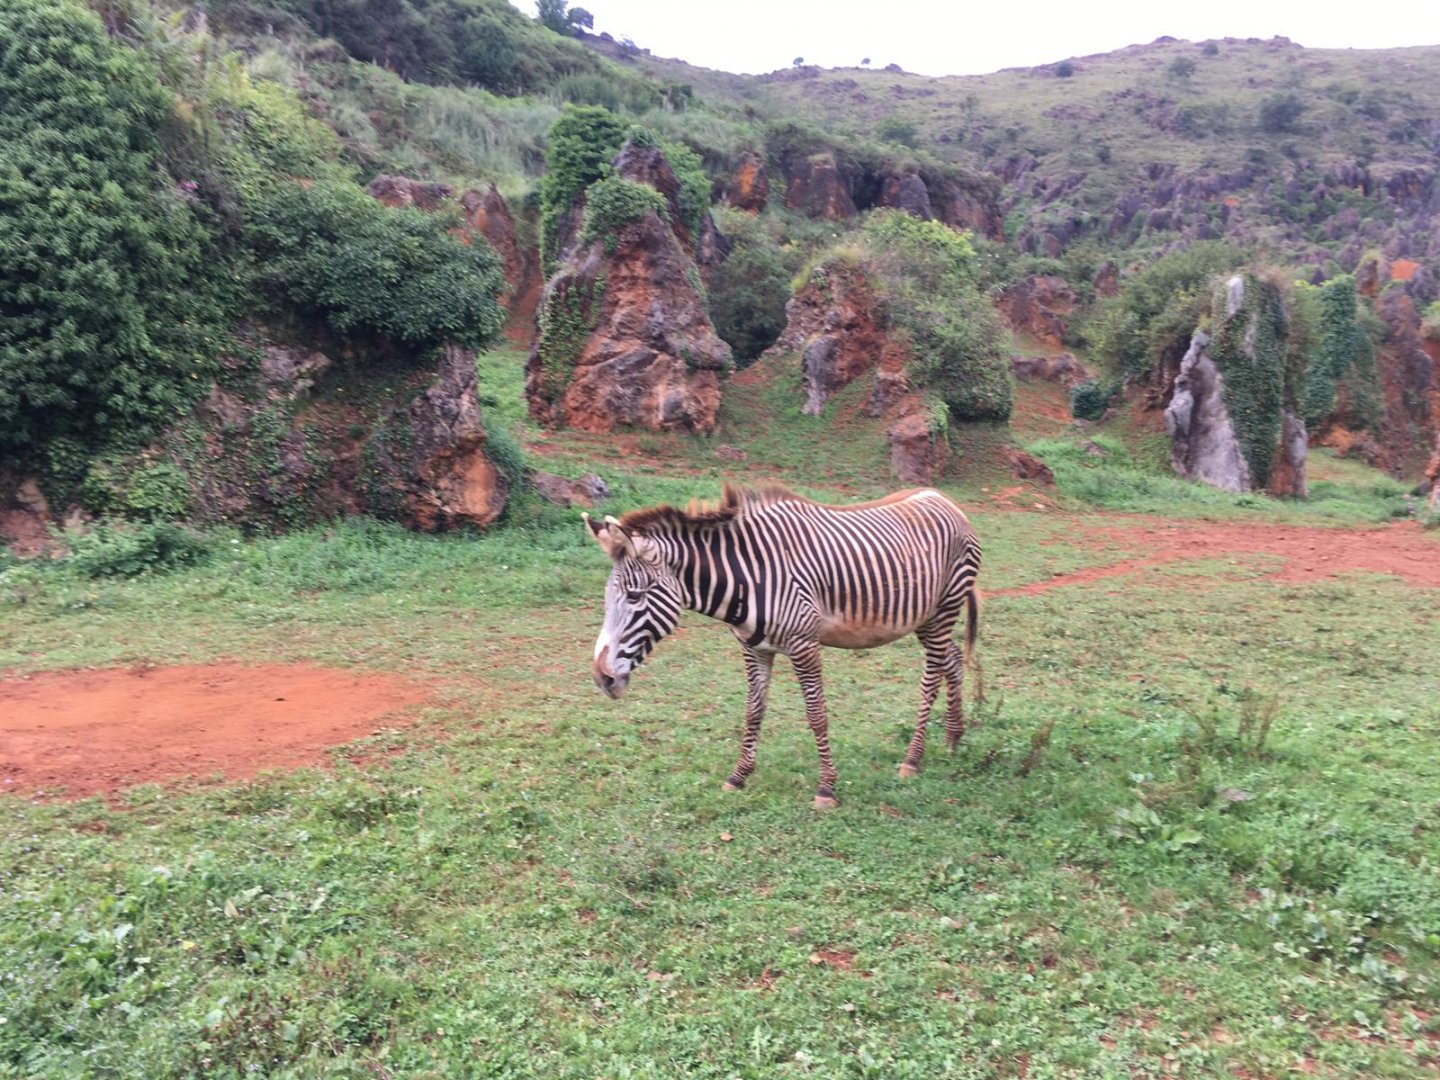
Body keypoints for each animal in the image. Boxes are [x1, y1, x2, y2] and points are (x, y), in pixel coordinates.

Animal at [584, 482, 982, 809]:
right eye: (606, 598)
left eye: (635, 597)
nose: (602, 678)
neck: (747, 577)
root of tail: (944, 499)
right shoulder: (754, 648)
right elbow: (753, 711)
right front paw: (738, 776)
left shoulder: (804, 645)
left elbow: (817, 715)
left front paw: (826, 788)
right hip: (927, 617)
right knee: (953, 660)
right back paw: (953, 738)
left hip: (944, 607)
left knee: (931, 679)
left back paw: (913, 758)